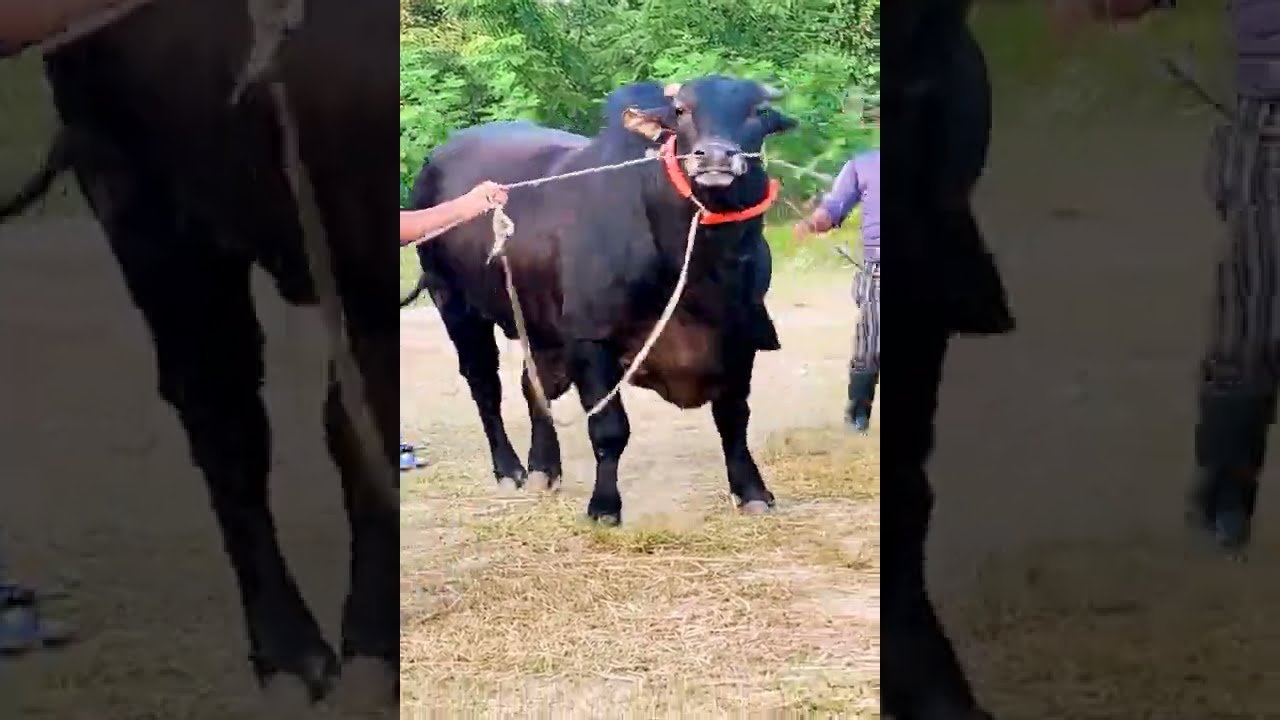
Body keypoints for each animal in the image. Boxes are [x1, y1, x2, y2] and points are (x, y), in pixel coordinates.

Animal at [401, 77, 796, 524]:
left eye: (759, 112)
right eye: (681, 111)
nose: (714, 156)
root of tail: (436, 160)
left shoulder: (740, 337)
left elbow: (733, 418)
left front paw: (752, 491)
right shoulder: (591, 339)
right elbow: (609, 429)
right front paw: (604, 505)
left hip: (538, 325)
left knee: (534, 387)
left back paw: (543, 467)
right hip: (455, 305)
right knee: (486, 386)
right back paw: (509, 469)